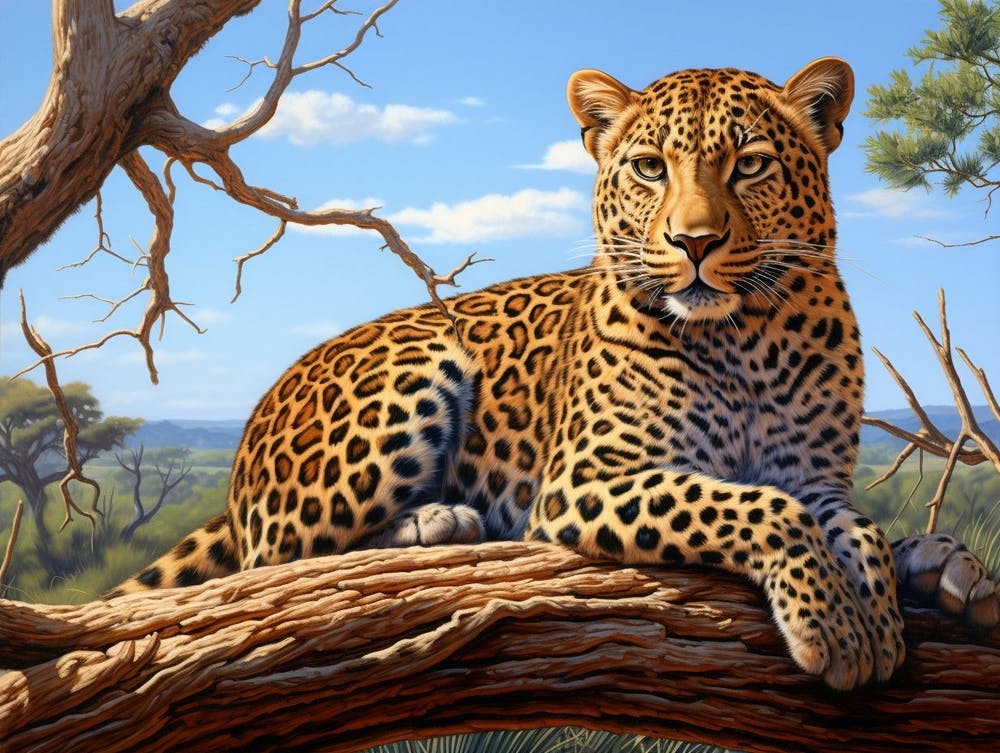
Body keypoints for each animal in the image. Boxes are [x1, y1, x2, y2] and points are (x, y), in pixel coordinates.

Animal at [109, 57, 1000, 690]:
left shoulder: (818, 478)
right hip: (414, 368)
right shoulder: (586, 478)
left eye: (749, 165)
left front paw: (874, 612)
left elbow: (856, 528)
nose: (695, 241)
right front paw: (841, 627)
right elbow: (760, 506)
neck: (743, 339)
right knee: (278, 568)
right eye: (649, 167)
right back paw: (433, 523)